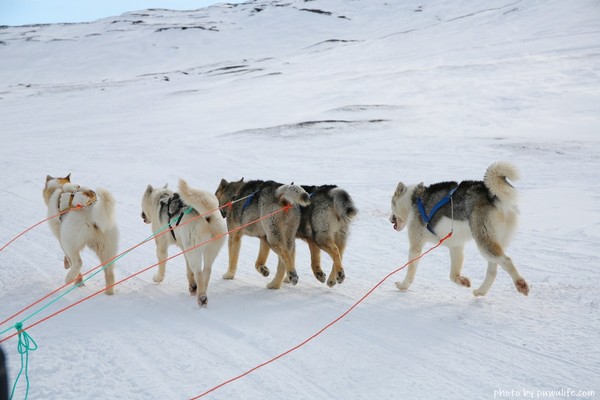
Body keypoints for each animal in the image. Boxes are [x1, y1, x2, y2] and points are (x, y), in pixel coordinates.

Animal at [141, 178, 227, 306]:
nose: (142, 215)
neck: (161, 199)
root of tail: (208, 216)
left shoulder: (161, 245)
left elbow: (162, 264)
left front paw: (157, 277)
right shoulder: (184, 249)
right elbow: (188, 270)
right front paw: (192, 285)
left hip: (194, 251)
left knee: (198, 272)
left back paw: (201, 297)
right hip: (207, 250)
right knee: (206, 270)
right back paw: (201, 290)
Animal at [392, 161, 528, 296]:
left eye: (392, 203)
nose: (389, 218)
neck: (414, 199)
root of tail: (492, 195)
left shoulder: (416, 246)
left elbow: (410, 271)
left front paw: (403, 286)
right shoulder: (456, 247)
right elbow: (453, 276)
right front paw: (462, 281)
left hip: (484, 241)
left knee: (507, 260)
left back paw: (520, 284)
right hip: (493, 243)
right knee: (492, 271)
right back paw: (480, 291)